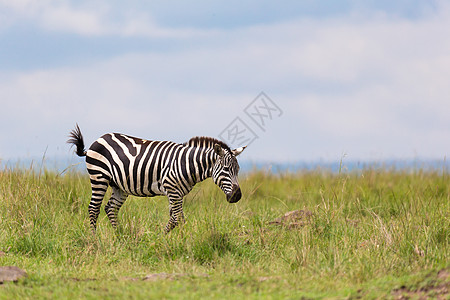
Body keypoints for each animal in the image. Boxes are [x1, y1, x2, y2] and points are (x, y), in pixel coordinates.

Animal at [67, 124, 246, 232]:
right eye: (226, 169)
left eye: (238, 170)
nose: (237, 196)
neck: (186, 163)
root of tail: (99, 139)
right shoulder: (172, 189)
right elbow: (178, 218)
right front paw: (183, 241)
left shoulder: (177, 193)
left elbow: (174, 218)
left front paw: (167, 237)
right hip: (99, 176)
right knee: (94, 208)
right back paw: (94, 239)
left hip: (119, 186)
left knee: (110, 208)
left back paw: (121, 236)